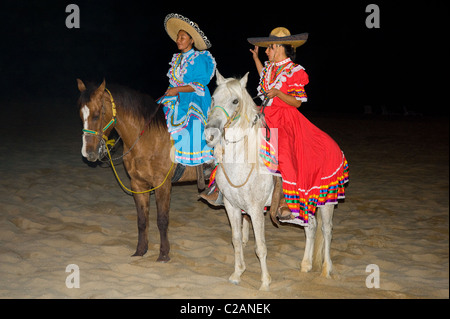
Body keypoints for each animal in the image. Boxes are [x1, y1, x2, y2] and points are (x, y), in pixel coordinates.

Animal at [76, 79, 198, 262]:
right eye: (80, 116)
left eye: (96, 115)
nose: (88, 153)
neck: (148, 138)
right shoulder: (138, 184)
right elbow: (142, 220)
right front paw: (140, 251)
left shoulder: (163, 185)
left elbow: (162, 220)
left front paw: (163, 254)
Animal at [205, 71, 334, 292]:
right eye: (213, 98)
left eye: (235, 101)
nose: (210, 134)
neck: (242, 160)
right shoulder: (231, 206)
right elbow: (236, 240)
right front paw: (237, 274)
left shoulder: (255, 210)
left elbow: (260, 247)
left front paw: (265, 282)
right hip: (299, 206)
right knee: (310, 226)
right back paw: (306, 265)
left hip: (327, 201)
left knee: (326, 231)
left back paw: (326, 270)